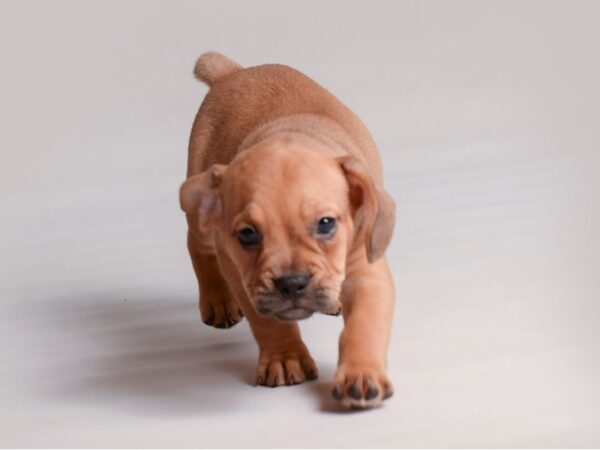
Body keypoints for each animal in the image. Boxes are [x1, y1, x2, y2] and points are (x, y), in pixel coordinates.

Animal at [180, 51, 396, 408]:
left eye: (326, 224)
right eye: (248, 234)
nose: (292, 283)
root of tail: (234, 73)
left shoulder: (367, 270)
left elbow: (364, 324)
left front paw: (360, 374)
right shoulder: (246, 278)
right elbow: (267, 322)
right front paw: (285, 357)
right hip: (201, 213)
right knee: (197, 245)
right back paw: (217, 300)